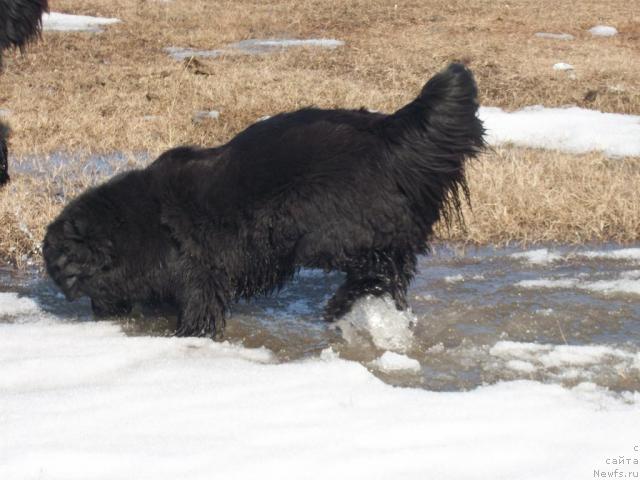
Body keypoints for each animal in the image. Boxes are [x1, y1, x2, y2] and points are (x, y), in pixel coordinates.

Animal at [43, 62, 484, 338]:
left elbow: (198, 312)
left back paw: (341, 304)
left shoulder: (199, 277)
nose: (92, 311)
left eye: (70, 272)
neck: (134, 225)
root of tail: (386, 130)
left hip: (325, 231)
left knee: (382, 263)